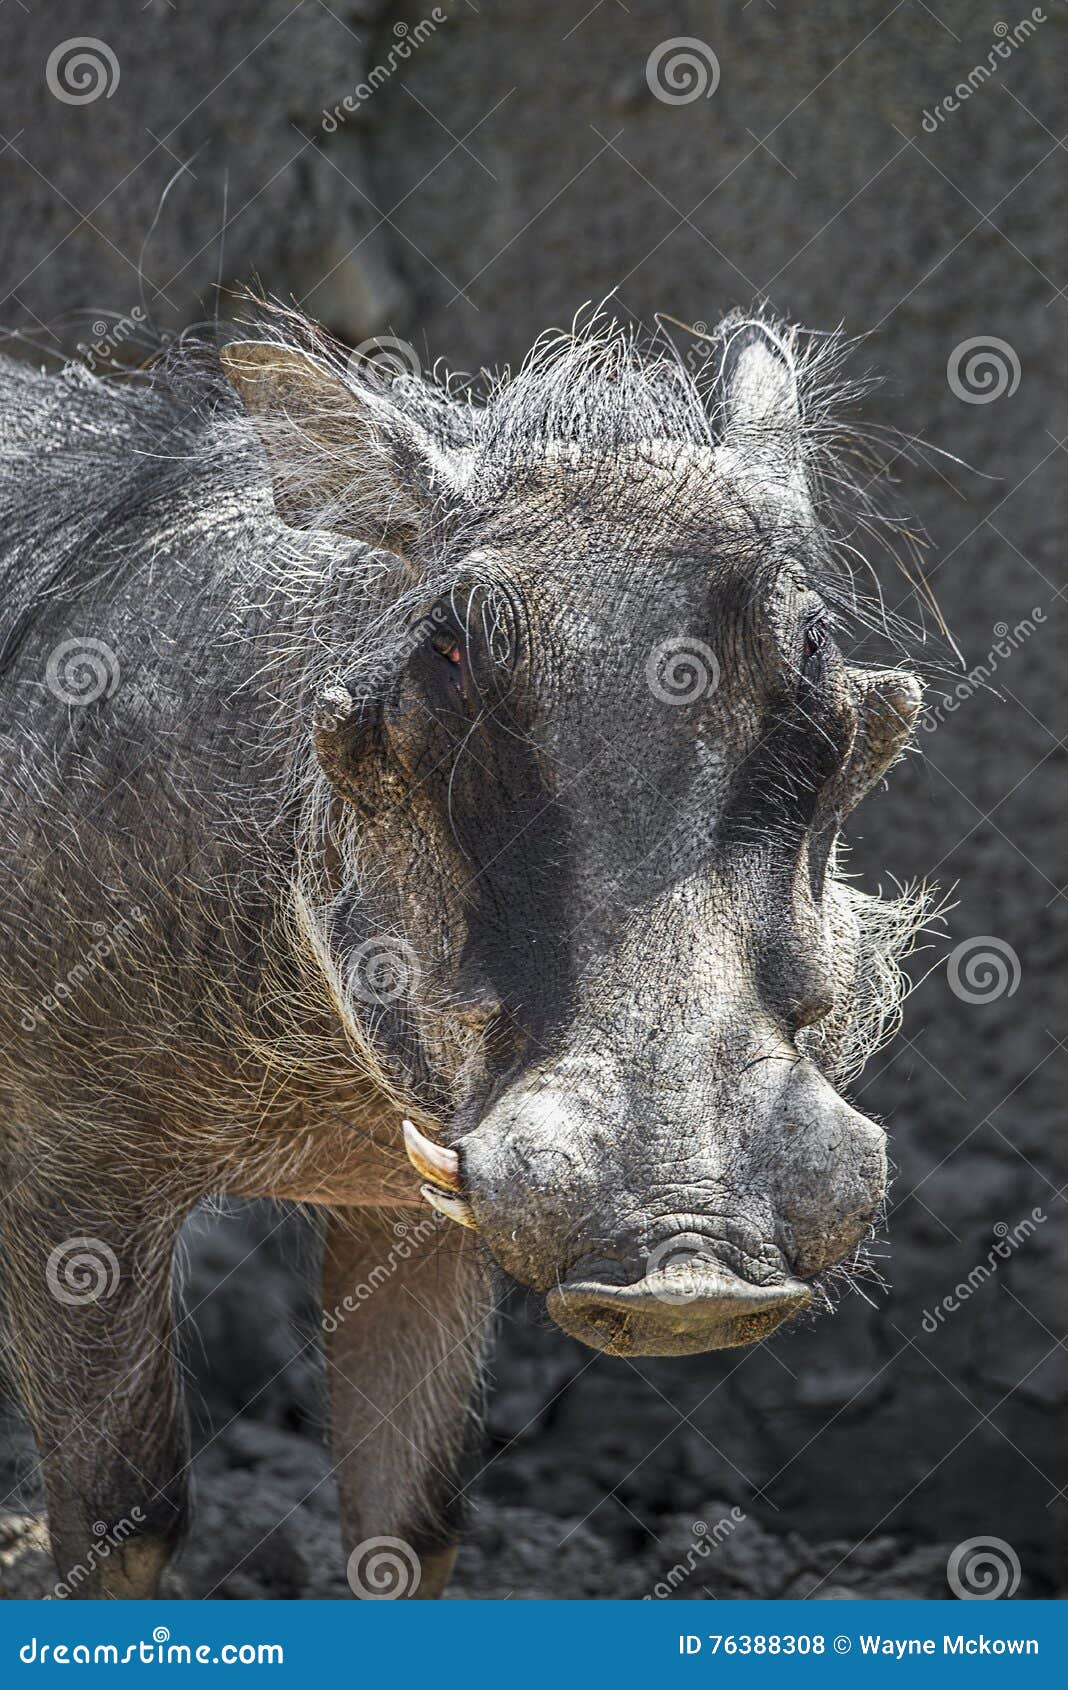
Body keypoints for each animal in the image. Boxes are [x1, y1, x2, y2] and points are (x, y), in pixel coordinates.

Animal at [0, 308, 928, 1598]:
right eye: (447, 652)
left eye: (814, 648)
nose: (689, 1267)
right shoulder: (63, 1174)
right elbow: (121, 1530)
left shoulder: (414, 1217)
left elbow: (410, 1529)